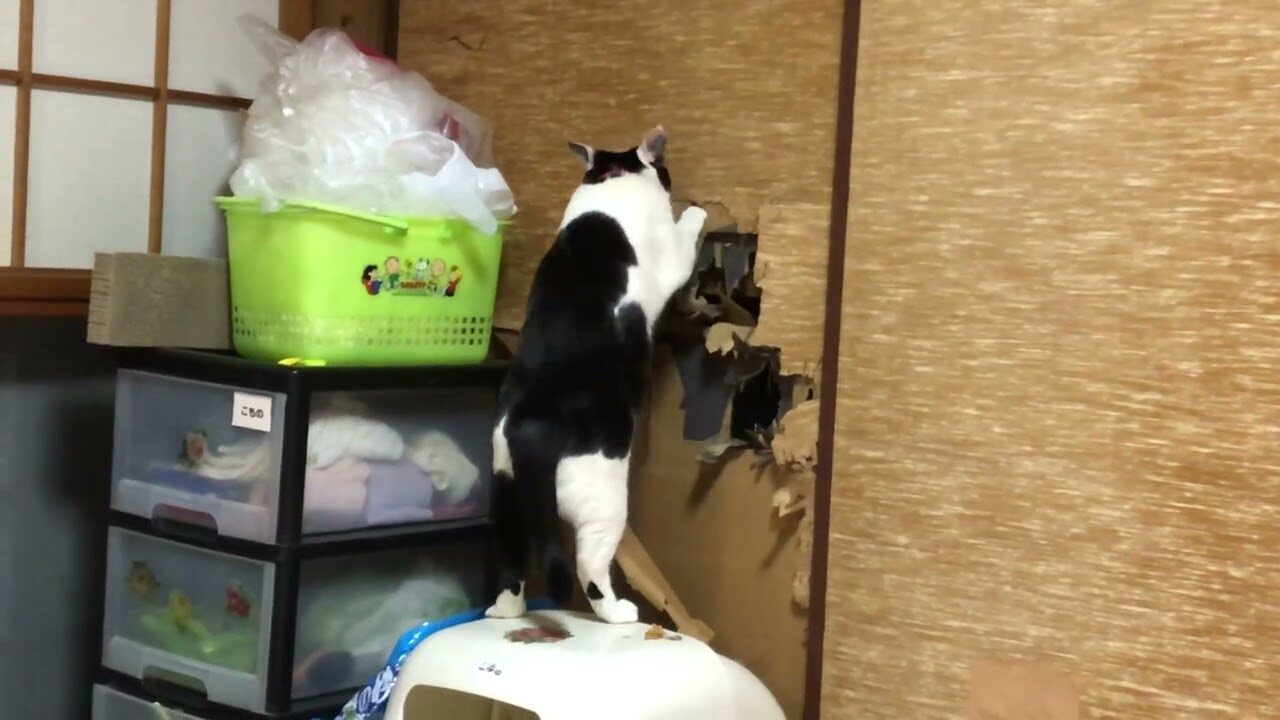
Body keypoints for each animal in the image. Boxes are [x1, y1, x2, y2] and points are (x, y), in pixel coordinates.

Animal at [487, 126, 707, 624]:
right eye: (666, 169)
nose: (672, 178)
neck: (610, 176)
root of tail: (527, 429)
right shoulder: (672, 260)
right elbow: (686, 231)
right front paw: (696, 209)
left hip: (508, 505)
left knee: (510, 566)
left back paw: (504, 611)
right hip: (604, 506)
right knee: (589, 567)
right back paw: (619, 613)